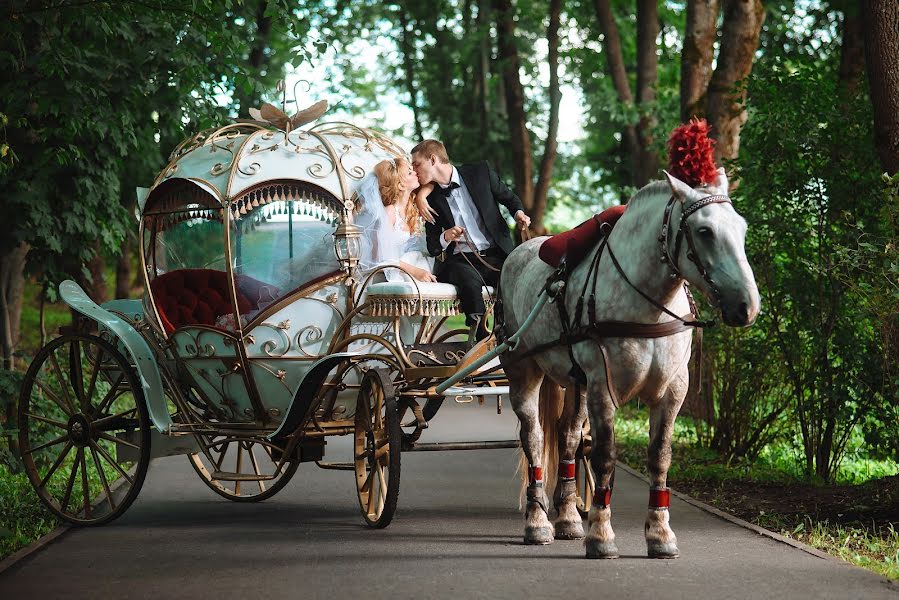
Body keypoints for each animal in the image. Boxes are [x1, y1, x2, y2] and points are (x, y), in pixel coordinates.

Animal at [500, 168, 760, 556]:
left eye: (742, 229)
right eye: (704, 231)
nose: (747, 305)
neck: (647, 306)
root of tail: (521, 250)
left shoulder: (673, 391)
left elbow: (660, 456)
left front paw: (660, 532)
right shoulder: (602, 386)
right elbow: (605, 456)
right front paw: (601, 534)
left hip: (576, 383)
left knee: (568, 436)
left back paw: (568, 516)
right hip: (523, 370)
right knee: (533, 437)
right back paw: (537, 521)